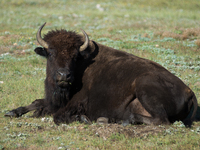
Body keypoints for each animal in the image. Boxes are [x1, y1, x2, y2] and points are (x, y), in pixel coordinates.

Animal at [5, 22, 198, 125]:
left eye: (75, 56)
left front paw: (83, 118)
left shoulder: (73, 104)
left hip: (144, 87)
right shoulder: (53, 100)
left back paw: (112, 120)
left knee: (160, 120)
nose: (64, 76)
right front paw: (12, 112)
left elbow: (58, 116)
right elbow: (37, 102)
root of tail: (190, 92)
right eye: (50, 53)